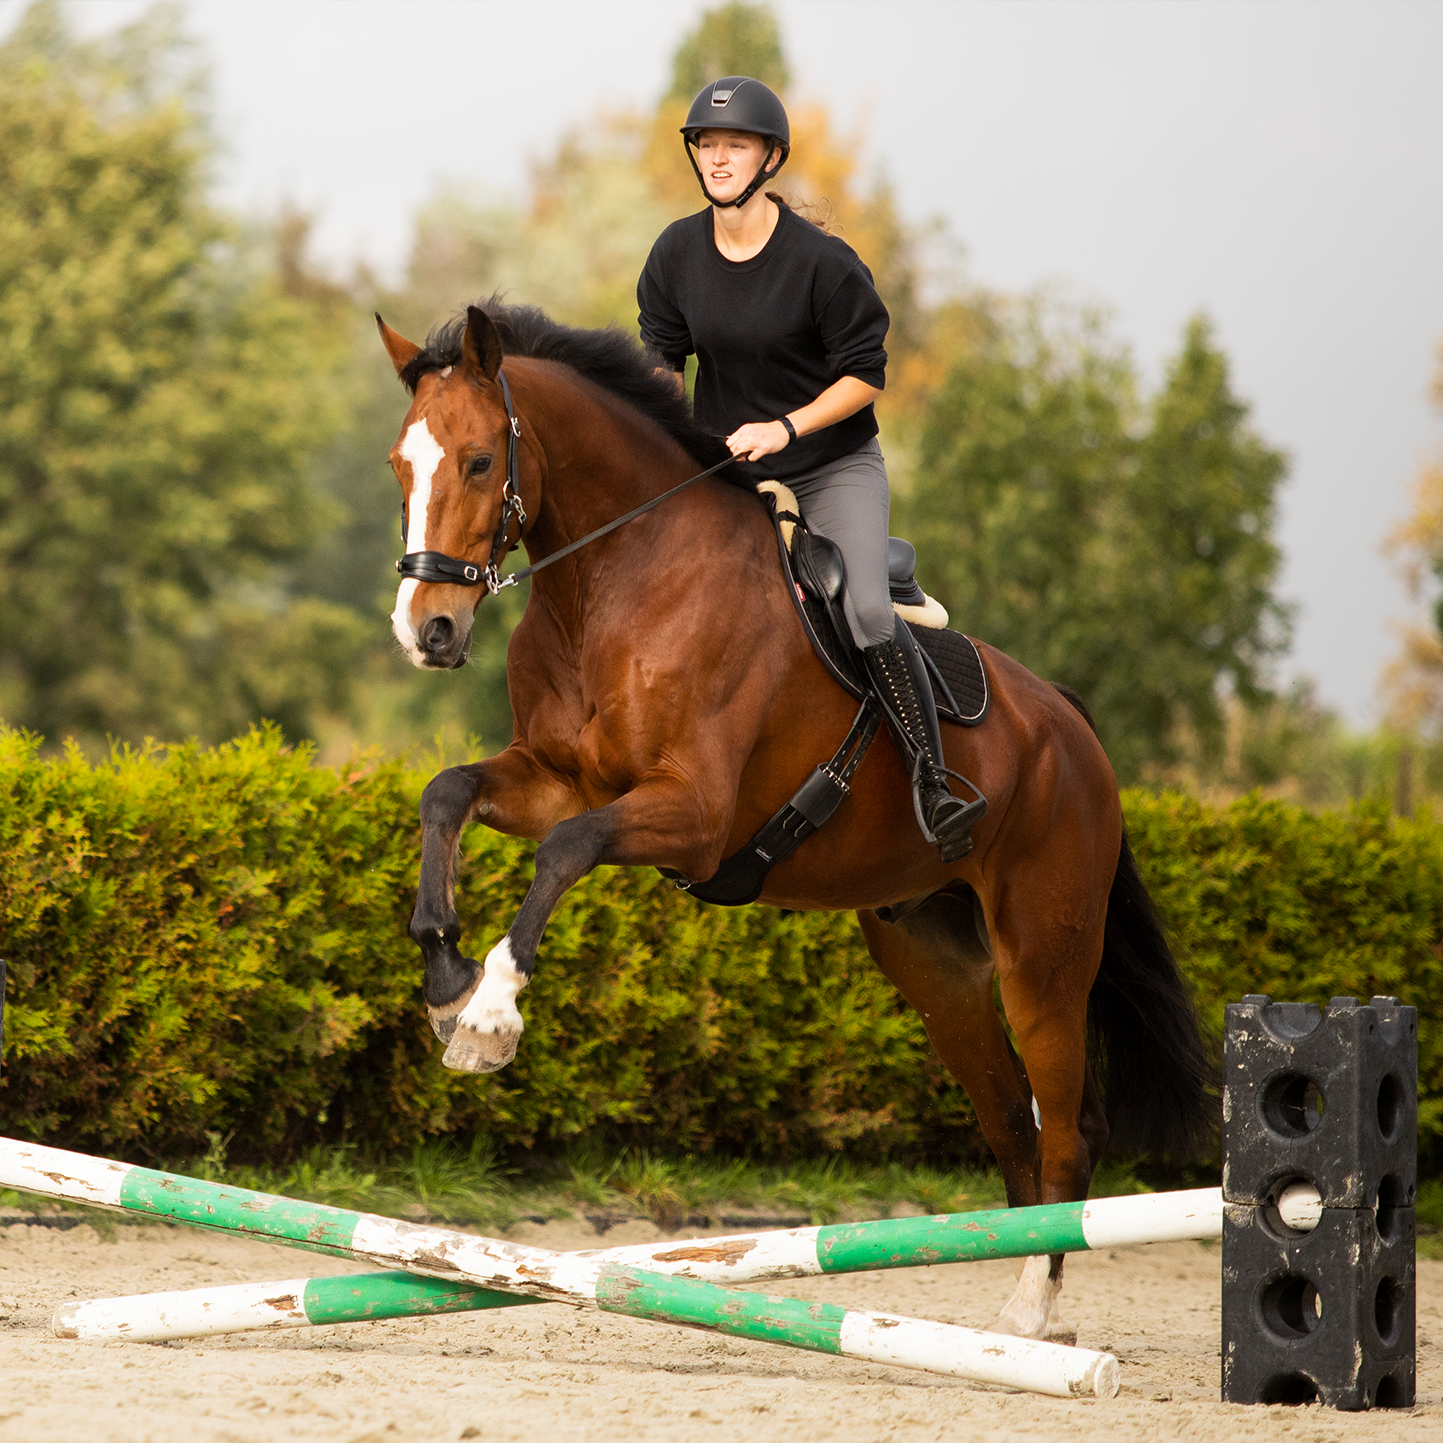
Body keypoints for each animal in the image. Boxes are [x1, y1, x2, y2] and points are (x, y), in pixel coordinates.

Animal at [376, 301, 1213, 1344]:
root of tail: (1068, 720)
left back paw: (1029, 1311)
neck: (615, 582)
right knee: (1008, 1125)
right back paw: (1015, 1309)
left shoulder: (690, 815)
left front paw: (490, 1016)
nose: (428, 632)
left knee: (1066, 1129)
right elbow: (447, 792)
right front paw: (443, 974)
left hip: (1043, 959)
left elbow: (567, 851)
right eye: (400, 464)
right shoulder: (557, 779)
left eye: (482, 460)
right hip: (935, 967)